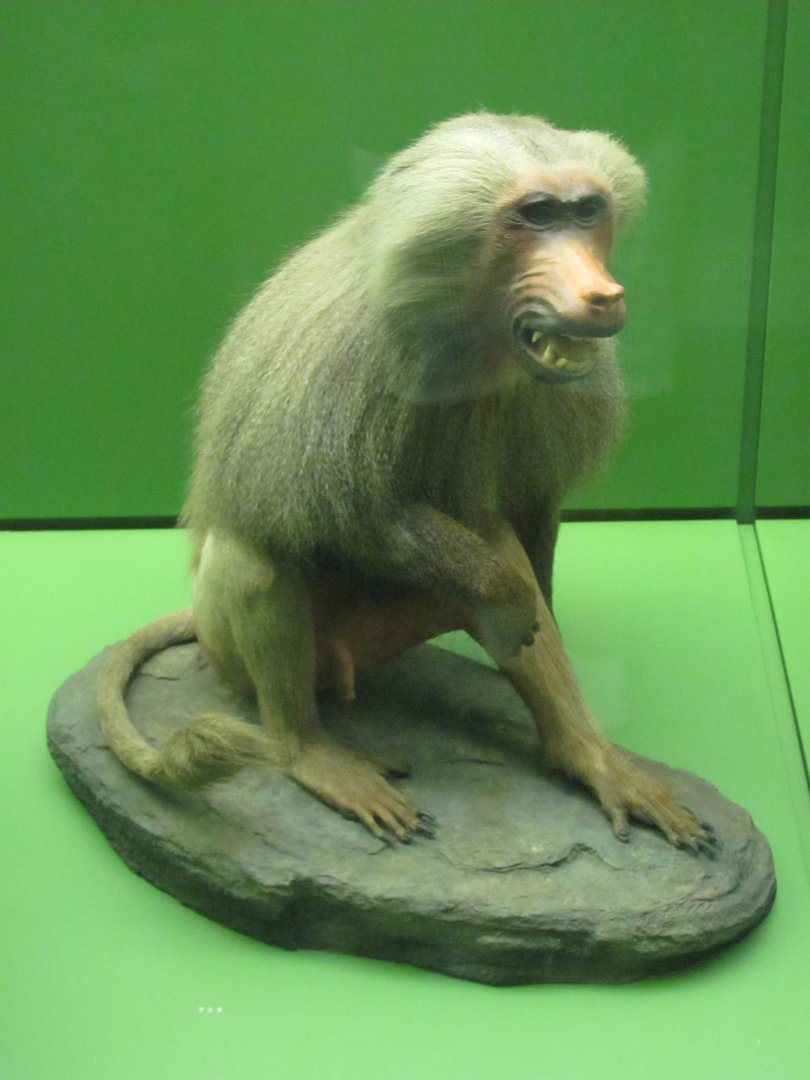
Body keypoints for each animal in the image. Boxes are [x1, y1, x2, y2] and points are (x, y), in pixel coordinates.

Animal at [98, 112, 716, 854]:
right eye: (536, 216)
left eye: (586, 212)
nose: (602, 295)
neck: (461, 318)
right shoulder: (351, 356)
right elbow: (346, 514)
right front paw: (514, 603)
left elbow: (530, 510)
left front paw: (543, 614)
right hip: (233, 651)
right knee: (258, 555)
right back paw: (313, 755)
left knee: (493, 541)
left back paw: (590, 758)